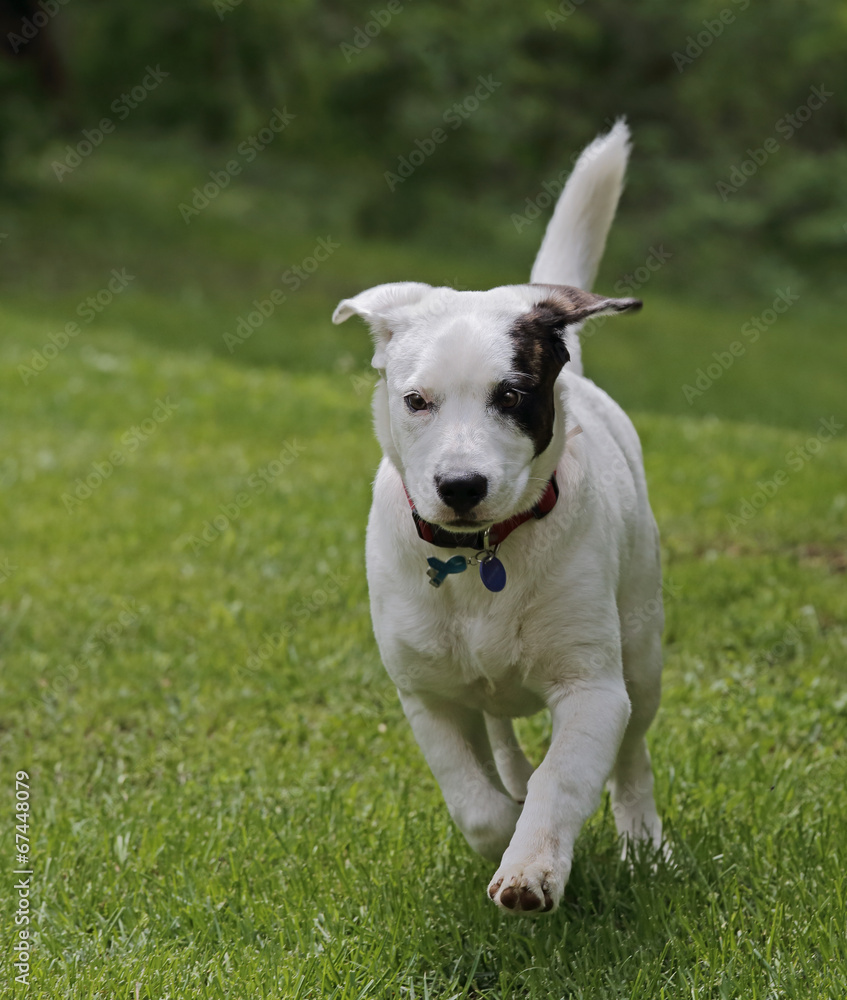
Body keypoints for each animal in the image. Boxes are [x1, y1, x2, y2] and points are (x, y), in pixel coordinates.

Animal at [334, 123, 664, 916]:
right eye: (415, 400)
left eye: (512, 395)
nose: (460, 486)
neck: (482, 552)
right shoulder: (424, 693)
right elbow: (472, 800)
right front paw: (504, 827)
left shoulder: (591, 688)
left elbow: (565, 776)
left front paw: (532, 866)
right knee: (498, 722)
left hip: (642, 646)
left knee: (633, 748)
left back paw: (643, 839)